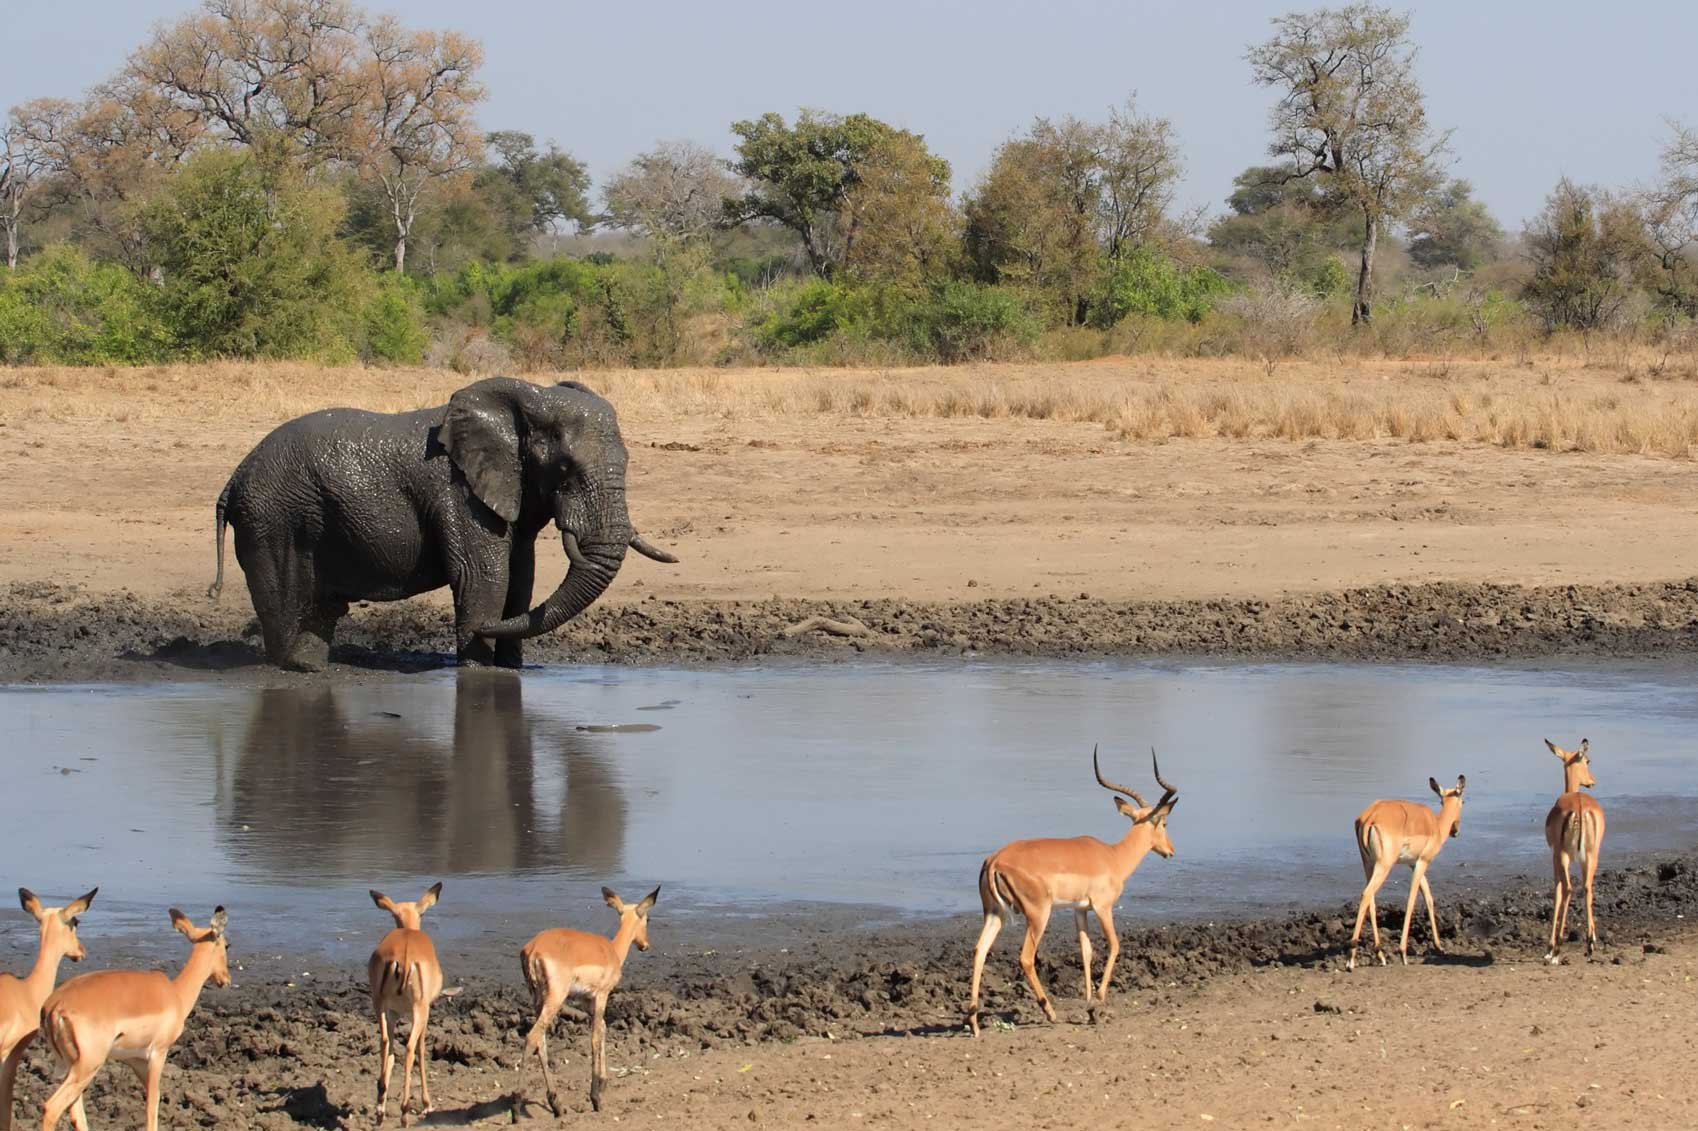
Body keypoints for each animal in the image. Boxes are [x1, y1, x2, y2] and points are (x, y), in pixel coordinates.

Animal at [203, 373, 669, 665]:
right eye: (566, 469)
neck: (526, 398)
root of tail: (233, 479)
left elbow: (520, 581)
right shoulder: (458, 494)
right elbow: (484, 581)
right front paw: (480, 671)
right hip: (273, 520)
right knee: (285, 611)